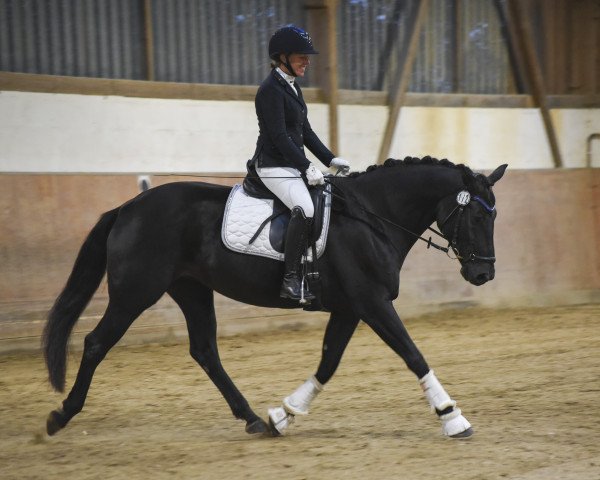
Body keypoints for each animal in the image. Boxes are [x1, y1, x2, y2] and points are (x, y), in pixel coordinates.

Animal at [43, 157, 506, 438]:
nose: (483, 274)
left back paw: (251, 419)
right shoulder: (372, 303)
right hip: (136, 292)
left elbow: (328, 363)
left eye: (494, 216)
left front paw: (283, 415)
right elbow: (413, 355)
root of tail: (128, 206)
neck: (373, 217)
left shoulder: (349, 308)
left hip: (192, 289)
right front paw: (452, 417)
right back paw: (61, 415)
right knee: (96, 343)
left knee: (204, 350)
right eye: (476, 216)